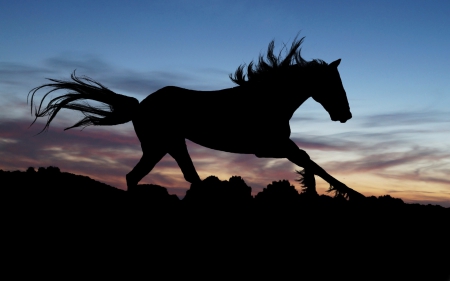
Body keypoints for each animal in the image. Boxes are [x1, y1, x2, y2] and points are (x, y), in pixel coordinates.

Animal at [27, 35, 366, 199]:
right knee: (142, 177)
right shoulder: (269, 147)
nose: (346, 115)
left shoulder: (276, 147)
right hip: (161, 145)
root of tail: (141, 106)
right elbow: (312, 161)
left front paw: (316, 188)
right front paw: (351, 194)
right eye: (333, 84)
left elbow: (310, 162)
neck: (266, 100)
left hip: (169, 145)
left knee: (179, 177)